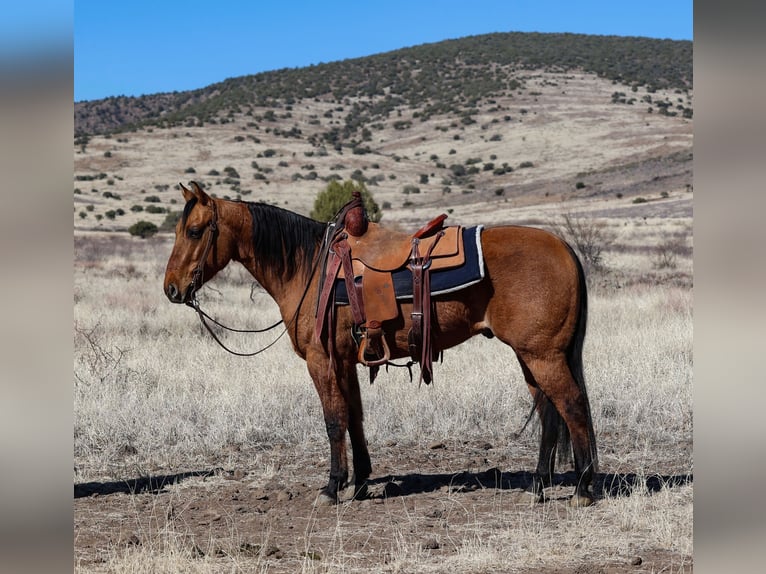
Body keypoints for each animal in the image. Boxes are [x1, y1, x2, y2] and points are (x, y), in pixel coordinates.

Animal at [165, 181, 600, 508]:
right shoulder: (345, 362)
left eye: (194, 231)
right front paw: (359, 483)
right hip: (531, 357)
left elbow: (333, 420)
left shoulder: (321, 361)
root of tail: (564, 248)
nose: (171, 289)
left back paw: (583, 488)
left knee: (573, 405)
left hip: (543, 356)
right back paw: (538, 487)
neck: (310, 268)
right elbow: (355, 419)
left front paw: (332, 486)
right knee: (549, 413)